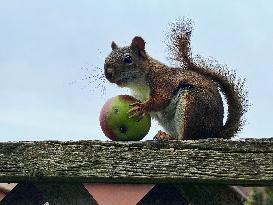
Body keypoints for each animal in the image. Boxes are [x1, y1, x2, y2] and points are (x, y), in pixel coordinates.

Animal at [103, 19, 248, 140]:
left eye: (128, 59)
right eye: (106, 59)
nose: (108, 74)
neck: (139, 84)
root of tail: (214, 133)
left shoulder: (163, 81)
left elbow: (161, 99)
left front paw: (142, 107)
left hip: (192, 105)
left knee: (187, 137)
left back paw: (170, 137)